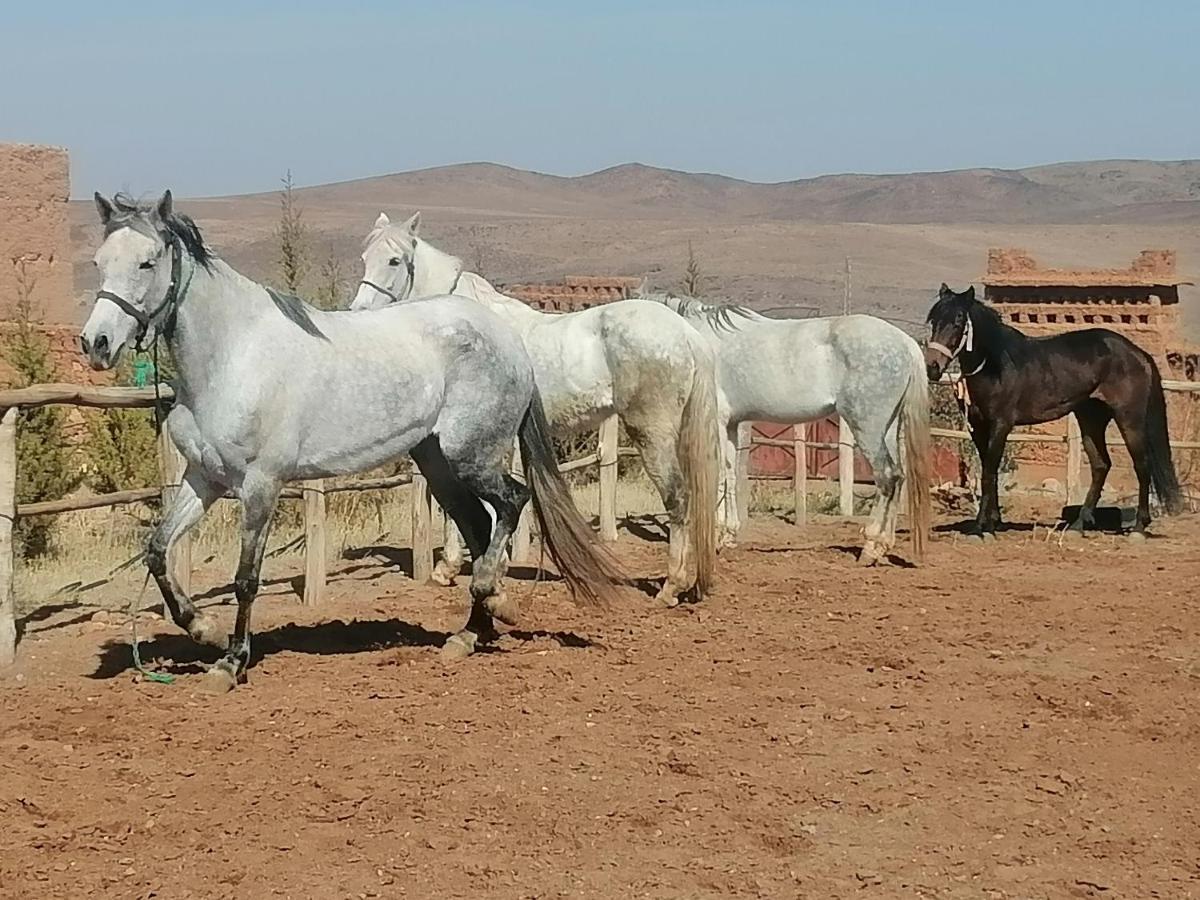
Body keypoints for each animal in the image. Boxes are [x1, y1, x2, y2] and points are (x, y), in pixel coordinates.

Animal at [350, 211, 715, 607]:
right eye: (364, 257)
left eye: (394, 260)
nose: (357, 312)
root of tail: (685, 333)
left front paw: (471, 569)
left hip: (652, 432)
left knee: (677, 497)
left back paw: (670, 588)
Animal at [643, 294, 931, 564]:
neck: (698, 341)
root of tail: (907, 344)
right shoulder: (732, 424)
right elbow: (731, 474)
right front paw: (728, 535)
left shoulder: (718, 421)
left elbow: (720, 476)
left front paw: (716, 537)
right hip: (888, 427)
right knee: (899, 476)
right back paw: (883, 544)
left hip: (866, 427)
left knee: (887, 476)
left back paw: (870, 547)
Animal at [921, 285, 1185, 535]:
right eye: (933, 320)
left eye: (958, 322)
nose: (932, 367)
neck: (994, 365)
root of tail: (1138, 353)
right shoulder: (977, 426)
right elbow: (989, 470)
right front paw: (992, 521)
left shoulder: (1000, 424)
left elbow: (988, 471)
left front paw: (981, 527)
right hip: (1091, 418)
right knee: (1101, 465)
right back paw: (1078, 525)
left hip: (1129, 419)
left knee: (1142, 465)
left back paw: (1139, 526)